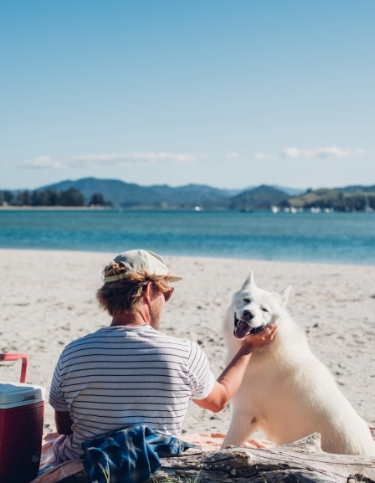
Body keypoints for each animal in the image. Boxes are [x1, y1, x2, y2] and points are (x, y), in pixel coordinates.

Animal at [222, 274, 375, 456]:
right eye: (246, 300)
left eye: (264, 310)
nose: (248, 313)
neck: (266, 347)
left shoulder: (245, 415)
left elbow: (225, 445)